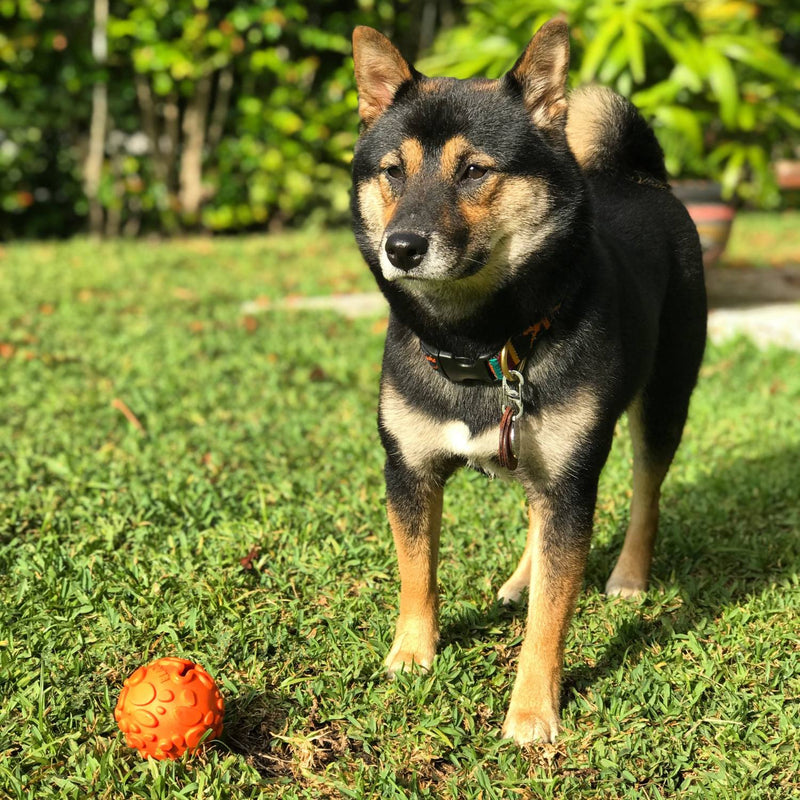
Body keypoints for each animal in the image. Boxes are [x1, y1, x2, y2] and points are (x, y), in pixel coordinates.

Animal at [350, 18, 708, 744]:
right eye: (392, 171)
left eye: (474, 170)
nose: (401, 247)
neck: (480, 346)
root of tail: (642, 178)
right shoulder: (408, 469)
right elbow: (416, 572)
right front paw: (412, 654)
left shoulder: (571, 483)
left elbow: (552, 613)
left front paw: (533, 711)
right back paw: (520, 578)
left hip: (661, 404)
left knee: (647, 496)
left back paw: (629, 576)